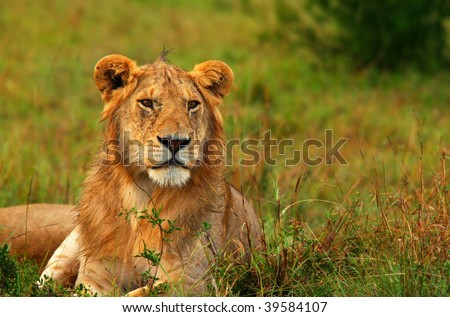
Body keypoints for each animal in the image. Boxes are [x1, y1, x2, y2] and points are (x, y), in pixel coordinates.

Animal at [37, 53, 264, 296]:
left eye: (192, 104)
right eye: (147, 103)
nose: (175, 141)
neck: (142, 194)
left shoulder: (194, 281)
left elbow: (135, 295)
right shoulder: (93, 277)